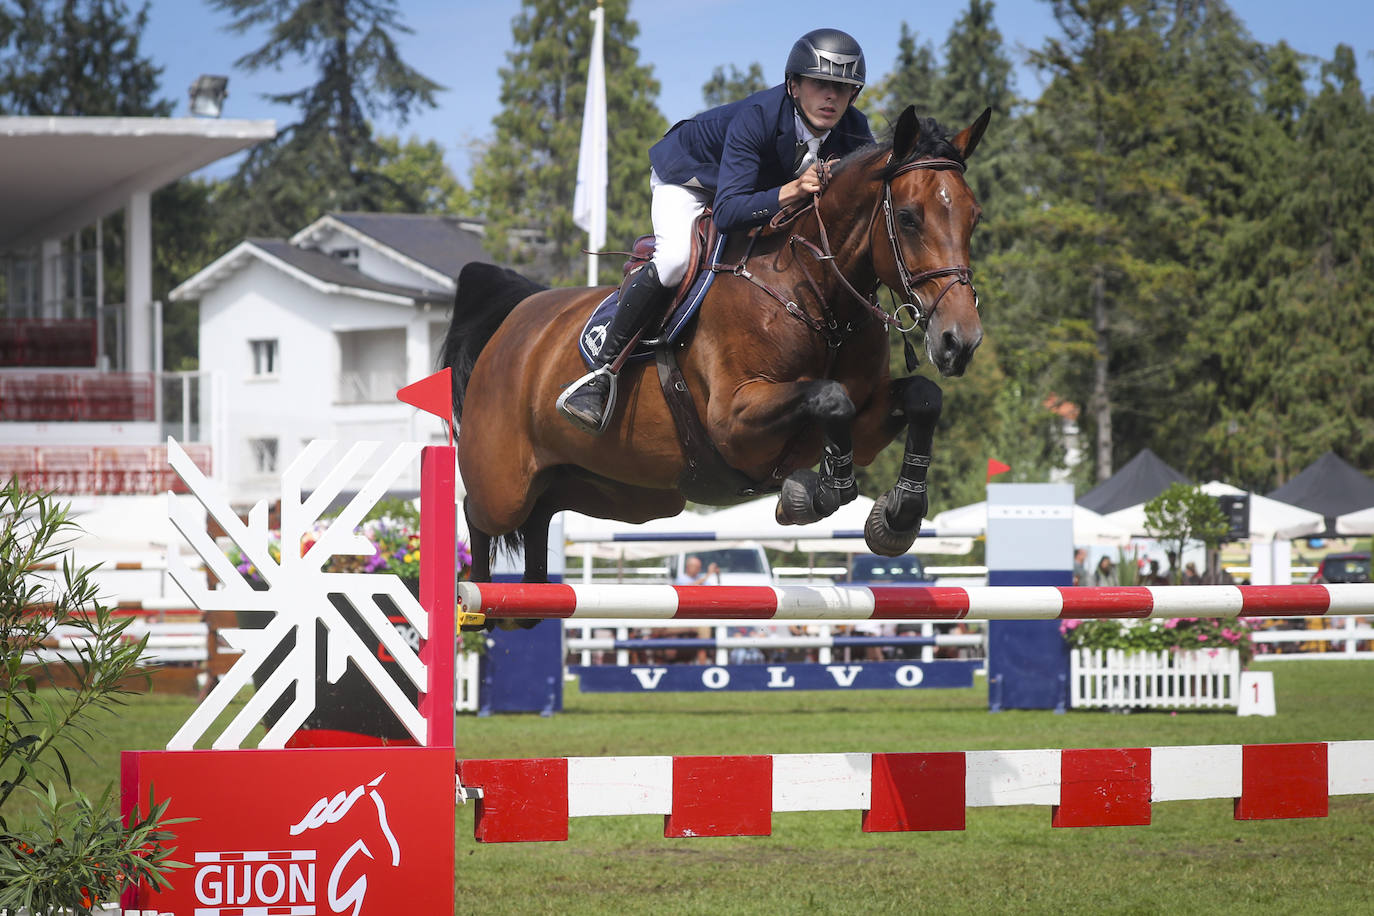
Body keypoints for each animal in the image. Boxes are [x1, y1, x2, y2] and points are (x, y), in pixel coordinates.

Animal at [445, 102, 994, 587]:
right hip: (503, 483)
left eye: (974, 217)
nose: (960, 341)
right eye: (908, 217)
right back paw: (478, 603)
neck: (814, 294)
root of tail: (516, 315)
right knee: (479, 512)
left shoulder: (866, 425)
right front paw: (812, 494)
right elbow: (828, 397)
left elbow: (922, 397)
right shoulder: (734, 421)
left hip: (621, 492)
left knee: (542, 513)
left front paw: (898, 514)